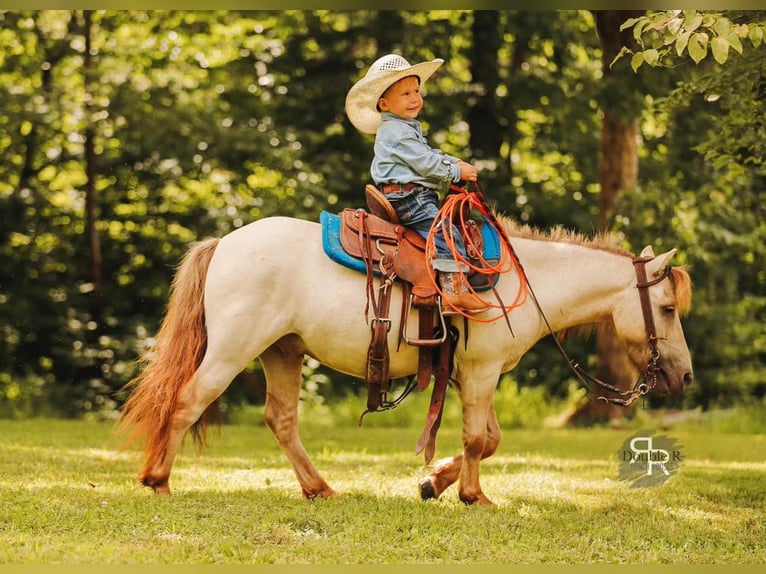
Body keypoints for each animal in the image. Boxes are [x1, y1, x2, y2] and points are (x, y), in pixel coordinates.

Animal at [118, 213, 693, 506]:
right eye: (667, 308)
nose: (684, 376)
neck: (524, 283)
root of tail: (224, 243)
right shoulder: (481, 372)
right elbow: (478, 439)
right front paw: (472, 496)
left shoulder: (470, 375)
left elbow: (490, 439)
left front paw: (433, 483)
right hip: (234, 348)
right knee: (188, 400)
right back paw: (158, 479)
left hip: (283, 352)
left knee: (280, 420)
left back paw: (319, 488)